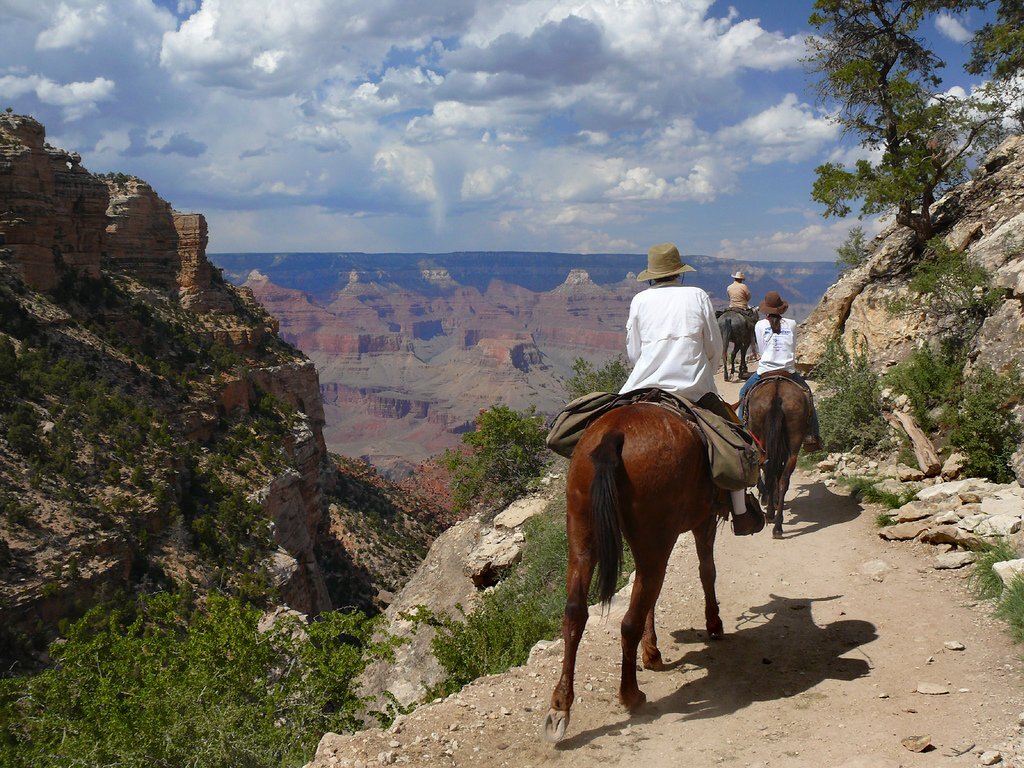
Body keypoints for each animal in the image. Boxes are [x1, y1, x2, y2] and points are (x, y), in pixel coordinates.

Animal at [540, 403, 724, 745]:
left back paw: (560, 707)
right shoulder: (704, 522)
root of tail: (615, 434)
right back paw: (631, 696)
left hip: (582, 531)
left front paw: (652, 653)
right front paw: (714, 625)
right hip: (655, 537)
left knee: (575, 612)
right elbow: (707, 571)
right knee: (629, 621)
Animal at [741, 376, 811, 536]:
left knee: (769, 470)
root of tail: (777, 395)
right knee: (782, 478)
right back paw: (778, 525)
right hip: (792, 445)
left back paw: (771, 514)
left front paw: (767, 499)